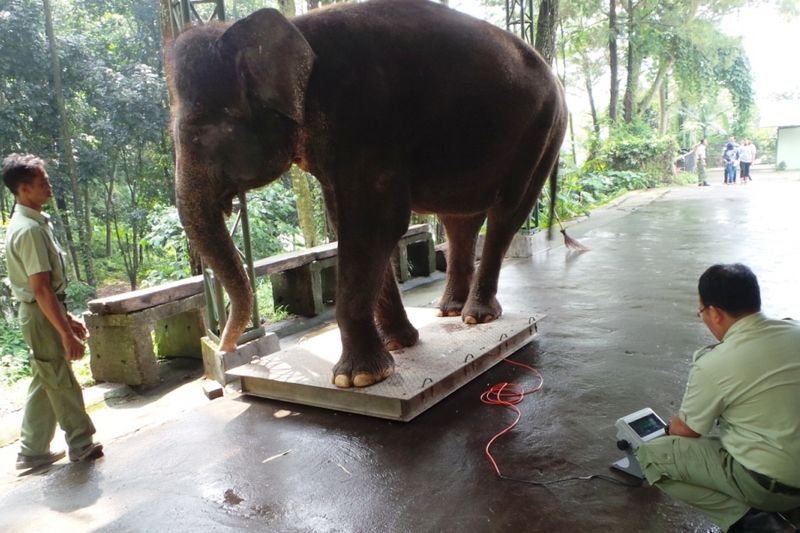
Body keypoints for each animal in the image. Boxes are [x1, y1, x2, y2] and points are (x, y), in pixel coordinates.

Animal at [167, 0, 568, 388]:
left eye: (204, 132)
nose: (226, 348)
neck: (294, 31)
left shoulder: (365, 116)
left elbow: (375, 224)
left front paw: (357, 378)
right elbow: (348, 220)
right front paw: (399, 345)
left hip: (543, 133)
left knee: (507, 213)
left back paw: (477, 317)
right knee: (459, 222)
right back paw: (450, 311)